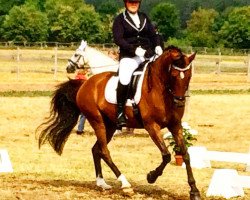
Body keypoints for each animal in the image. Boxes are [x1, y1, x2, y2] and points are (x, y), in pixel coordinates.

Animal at [36, 45, 201, 200]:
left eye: (188, 76)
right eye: (173, 75)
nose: (179, 102)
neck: (160, 88)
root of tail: (85, 84)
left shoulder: (175, 125)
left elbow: (185, 154)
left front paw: (194, 190)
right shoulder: (151, 126)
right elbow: (166, 155)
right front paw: (151, 176)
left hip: (109, 125)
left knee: (96, 149)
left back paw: (102, 183)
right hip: (97, 121)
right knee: (104, 151)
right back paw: (125, 184)